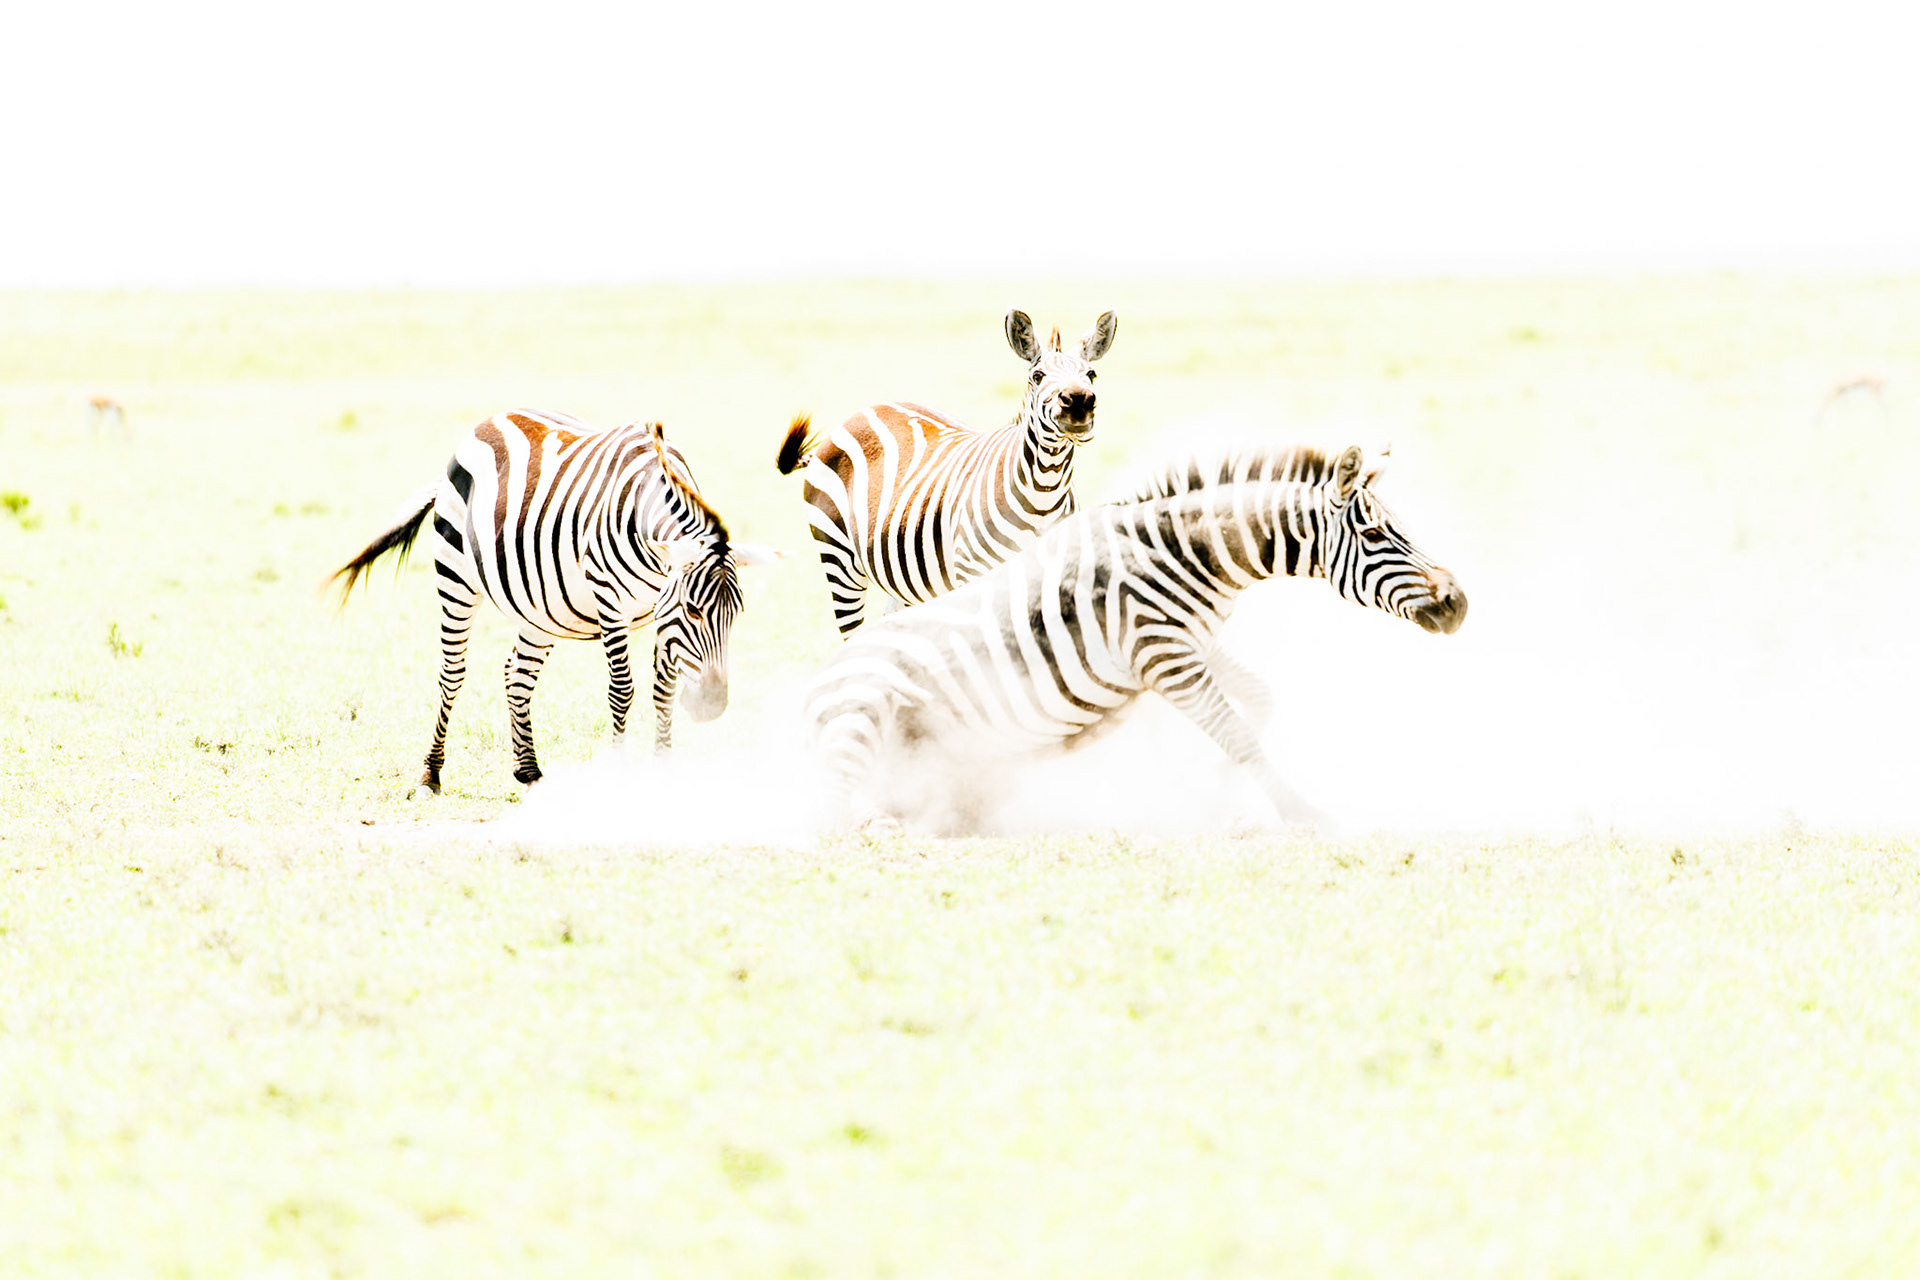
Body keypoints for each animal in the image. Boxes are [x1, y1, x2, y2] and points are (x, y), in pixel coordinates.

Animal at [330, 409, 777, 793]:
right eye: (694, 610)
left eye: (735, 615)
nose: (712, 709)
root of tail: (491, 419)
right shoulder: (610, 600)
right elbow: (623, 690)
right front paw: (620, 772)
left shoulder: (659, 611)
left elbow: (662, 689)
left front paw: (664, 770)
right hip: (455, 576)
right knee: (452, 674)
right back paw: (431, 772)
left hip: (541, 606)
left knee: (516, 674)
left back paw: (528, 771)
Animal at [776, 308, 1118, 638]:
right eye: (1038, 375)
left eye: (1091, 374)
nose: (1079, 402)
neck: (1044, 491)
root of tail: (857, 415)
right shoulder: (975, 575)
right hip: (838, 559)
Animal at [802, 444, 1466, 831]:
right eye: (1376, 535)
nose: (1457, 603)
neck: (1187, 554)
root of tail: (814, 685)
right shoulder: (1163, 654)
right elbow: (1240, 735)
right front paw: (1303, 814)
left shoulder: (1193, 643)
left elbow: (1258, 703)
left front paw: (1217, 789)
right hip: (862, 710)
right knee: (829, 799)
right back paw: (879, 824)